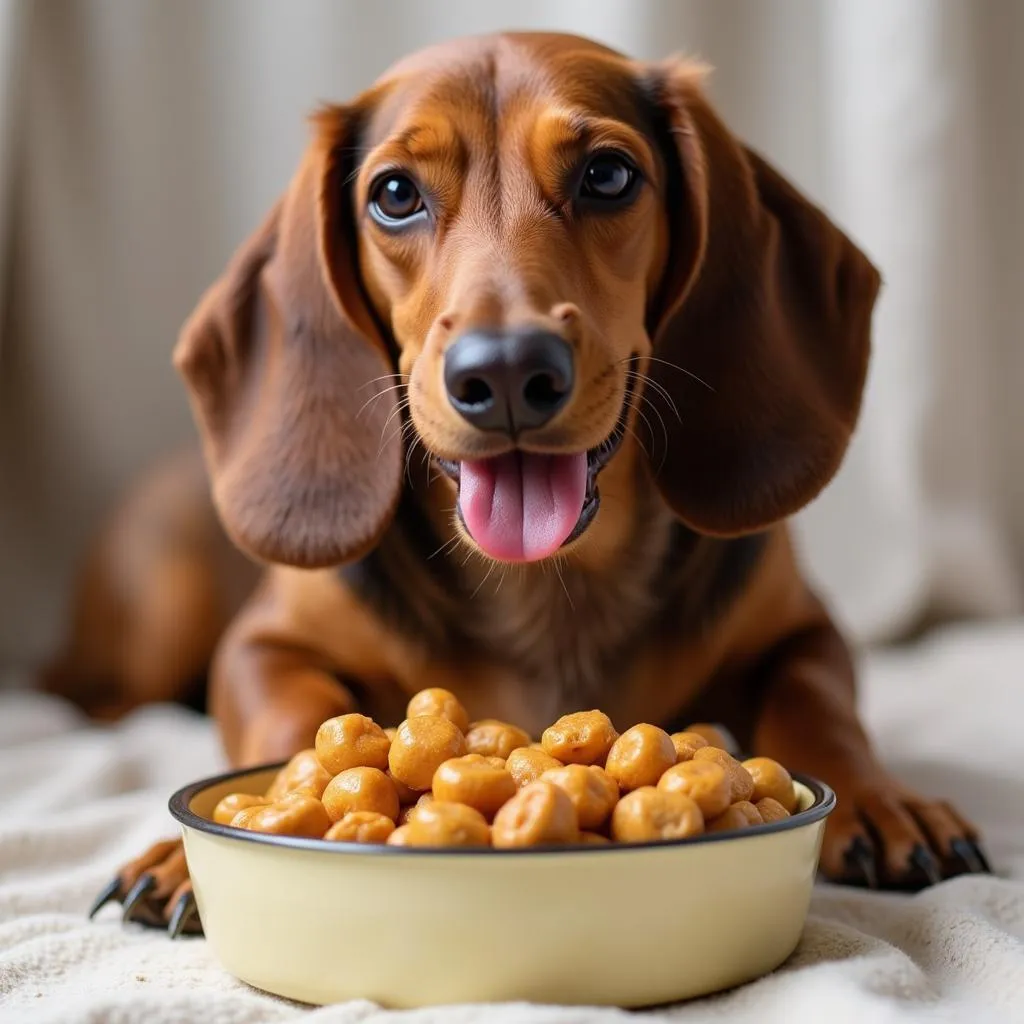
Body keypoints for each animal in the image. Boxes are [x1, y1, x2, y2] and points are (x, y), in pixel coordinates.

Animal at [70, 32, 983, 933]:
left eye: (608, 175)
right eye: (394, 194)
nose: (506, 371)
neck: (553, 588)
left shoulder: (802, 631)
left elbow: (820, 709)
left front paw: (879, 800)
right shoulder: (262, 646)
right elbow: (290, 719)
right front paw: (185, 851)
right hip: (169, 607)